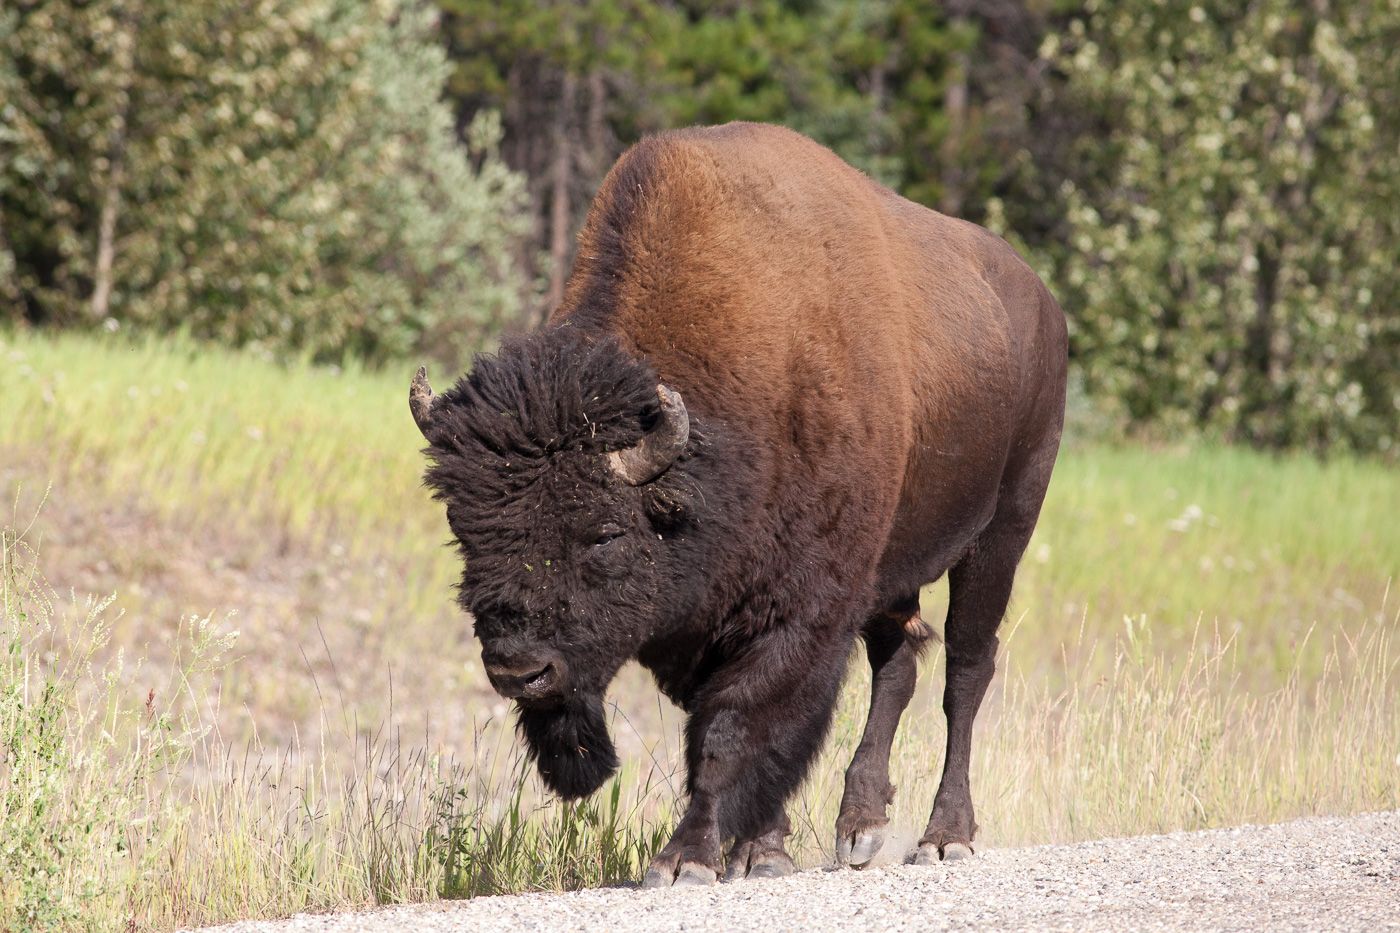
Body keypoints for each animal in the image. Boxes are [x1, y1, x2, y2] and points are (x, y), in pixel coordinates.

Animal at [408, 119, 1064, 885]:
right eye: (465, 529)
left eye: (604, 533)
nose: (519, 669)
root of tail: (1043, 302)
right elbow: (732, 735)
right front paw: (762, 851)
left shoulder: (797, 613)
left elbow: (733, 730)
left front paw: (686, 860)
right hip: (898, 564)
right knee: (897, 663)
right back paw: (860, 829)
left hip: (1002, 532)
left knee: (965, 671)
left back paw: (943, 837)